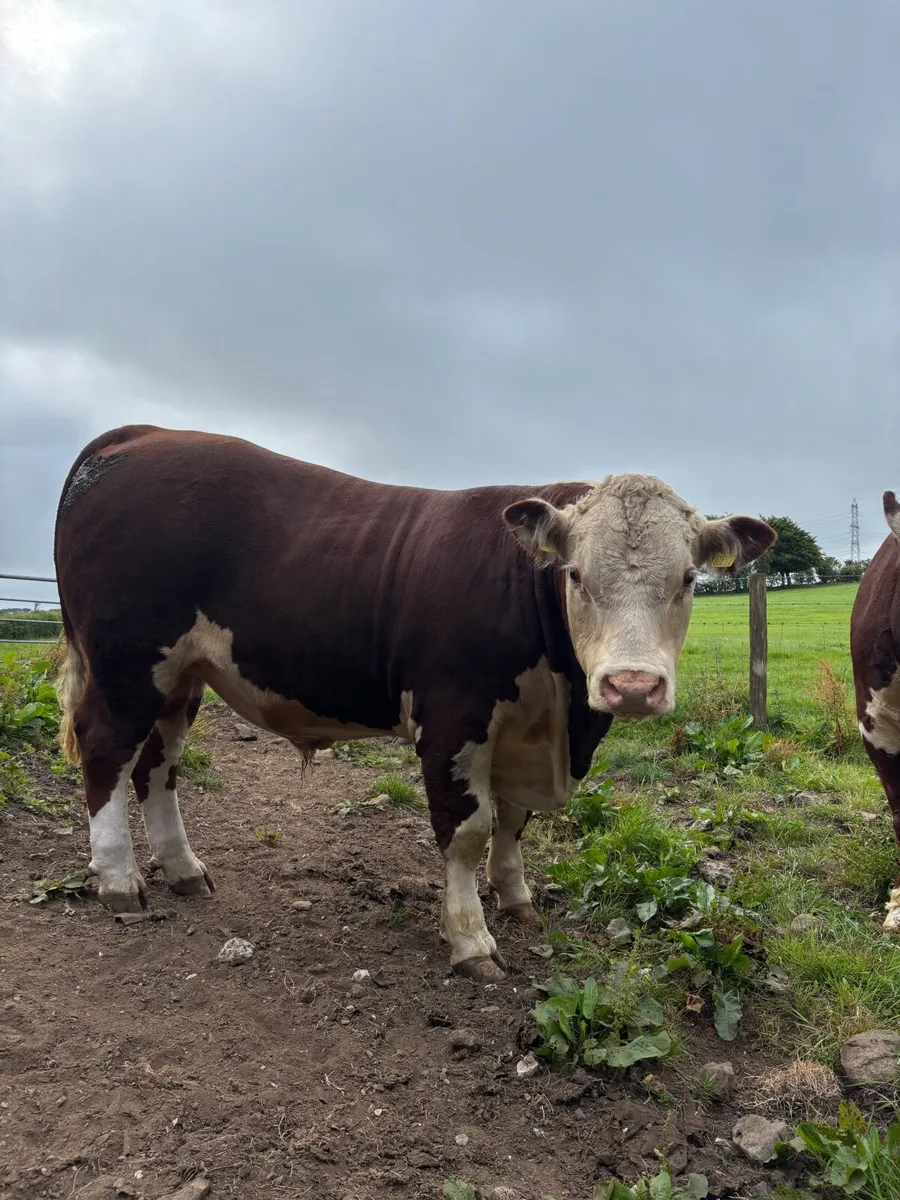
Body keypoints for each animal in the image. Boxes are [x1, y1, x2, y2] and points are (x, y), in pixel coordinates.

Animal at [54, 425, 776, 982]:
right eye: (575, 575)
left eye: (688, 579)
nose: (631, 685)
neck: (562, 720)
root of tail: (139, 436)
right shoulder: (454, 718)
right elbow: (468, 829)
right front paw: (471, 940)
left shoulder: (521, 733)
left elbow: (514, 821)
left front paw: (515, 897)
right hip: (127, 662)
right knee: (108, 752)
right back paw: (119, 881)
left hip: (181, 676)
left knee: (157, 766)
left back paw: (183, 870)